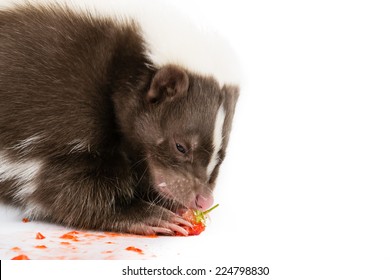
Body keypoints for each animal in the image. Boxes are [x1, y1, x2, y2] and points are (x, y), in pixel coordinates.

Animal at [0, 1, 239, 235]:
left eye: (221, 155)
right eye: (180, 146)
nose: (203, 200)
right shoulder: (61, 114)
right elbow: (58, 186)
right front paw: (146, 213)